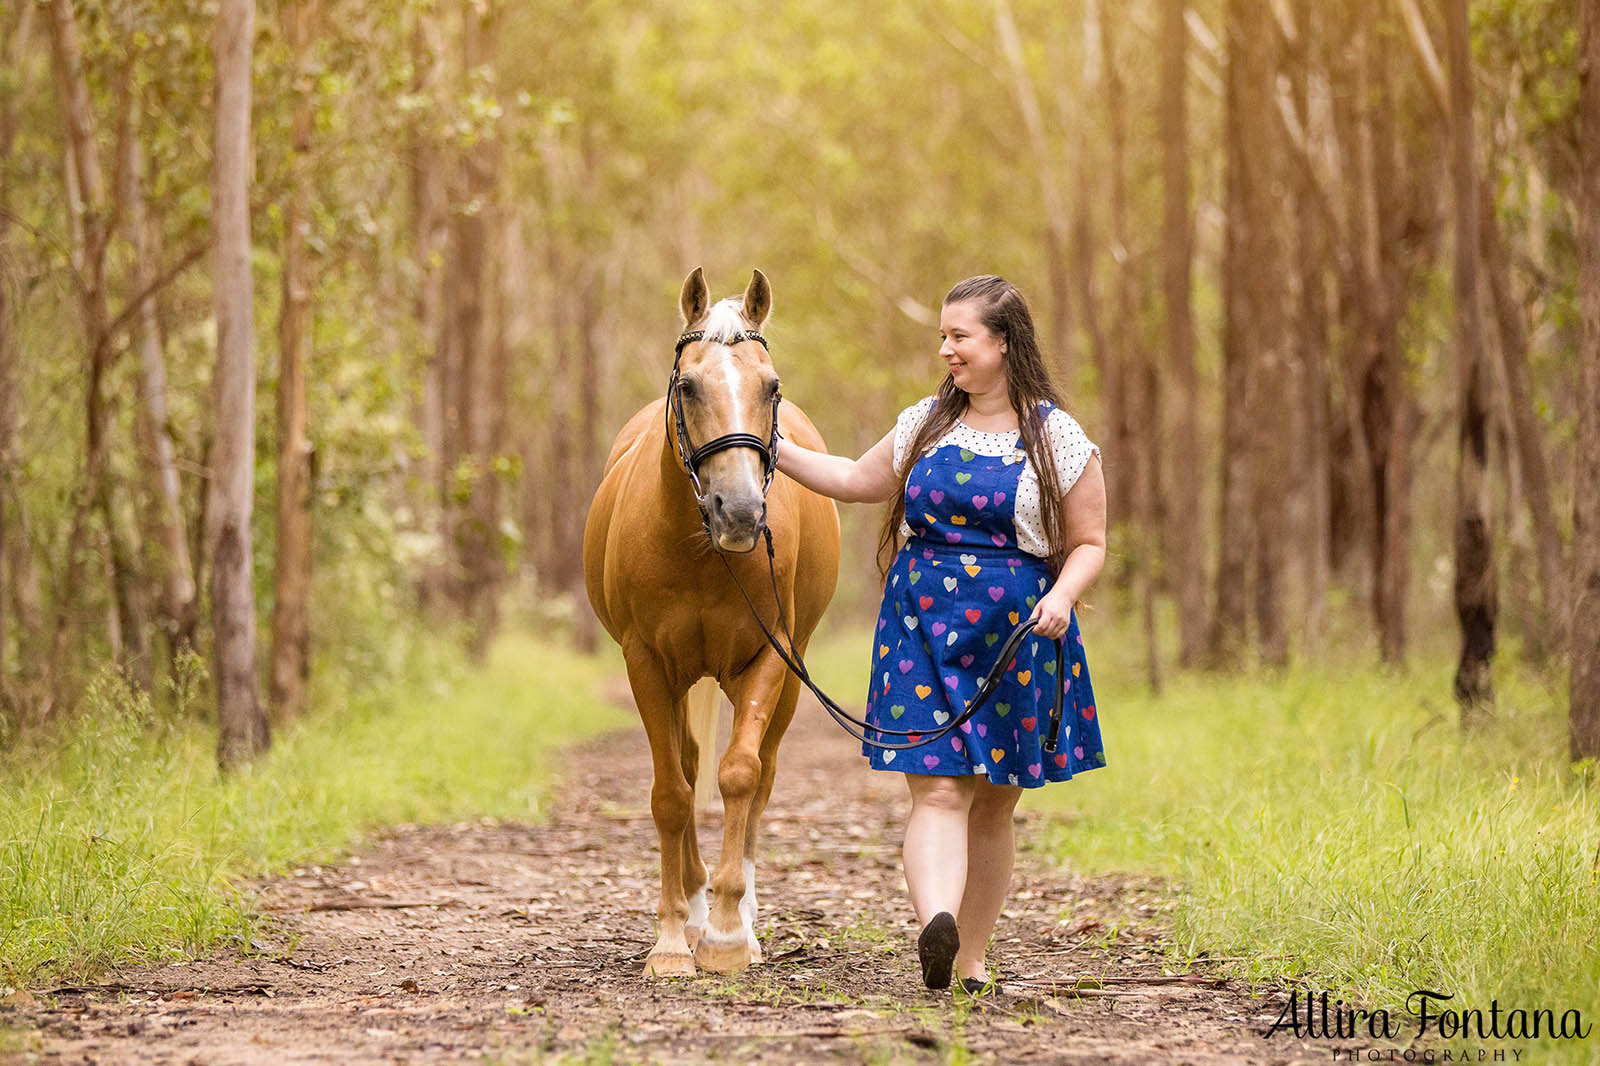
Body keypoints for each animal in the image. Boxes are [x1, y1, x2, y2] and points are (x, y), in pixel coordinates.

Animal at [585, 265, 838, 973]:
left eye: (771, 387)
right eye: (689, 386)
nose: (742, 513)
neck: (699, 551)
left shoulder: (768, 655)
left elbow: (741, 774)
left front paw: (727, 935)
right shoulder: (646, 662)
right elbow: (672, 792)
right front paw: (675, 938)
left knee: (762, 772)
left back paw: (740, 919)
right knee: (690, 765)